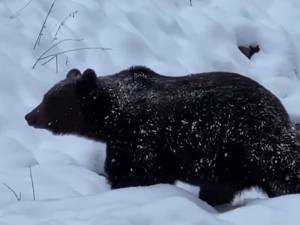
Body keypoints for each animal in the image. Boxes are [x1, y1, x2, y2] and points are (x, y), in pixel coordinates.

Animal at [24, 65, 300, 206]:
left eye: (49, 100)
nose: (29, 116)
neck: (113, 119)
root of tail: (281, 111)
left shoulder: (142, 139)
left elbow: (133, 175)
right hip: (230, 164)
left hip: (256, 146)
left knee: (285, 174)